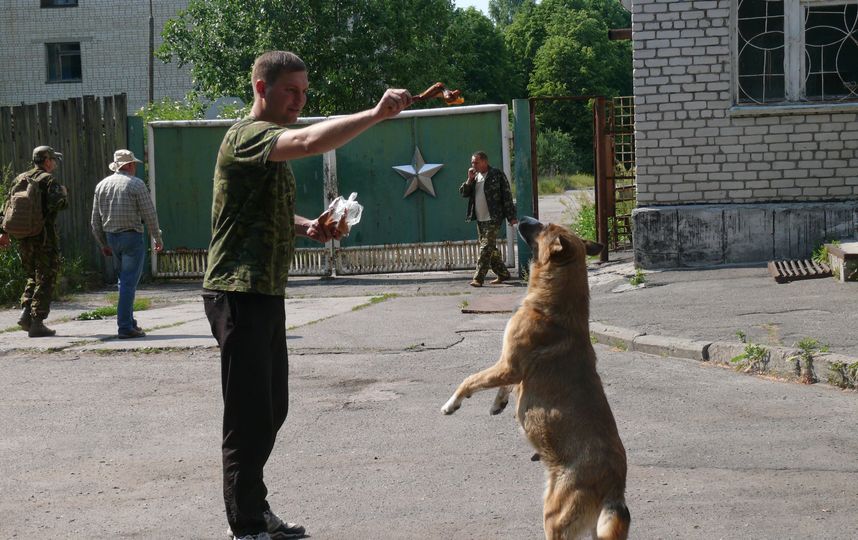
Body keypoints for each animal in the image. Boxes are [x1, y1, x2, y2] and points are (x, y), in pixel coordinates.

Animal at [442, 217, 628, 536]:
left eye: (546, 226)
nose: (522, 218)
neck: (553, 305)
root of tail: (615, 486)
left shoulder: (509, 365)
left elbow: (471, 379)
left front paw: (452, 403)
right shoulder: (511, 369)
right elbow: (504, 386)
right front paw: (498, 403)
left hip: (553, 515)